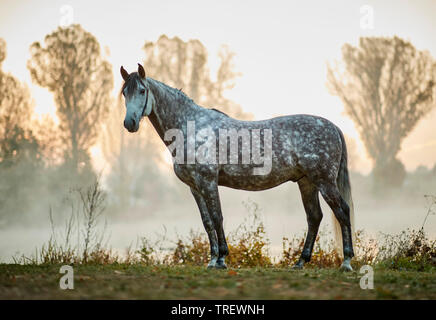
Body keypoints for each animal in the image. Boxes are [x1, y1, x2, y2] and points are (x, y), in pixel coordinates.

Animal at [118, 63, 354, 272]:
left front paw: (221, 259)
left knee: (342, 211)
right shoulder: (195, 187)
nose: (129, 123)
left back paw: (346, 262)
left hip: (324, 181)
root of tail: (333, 127)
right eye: (124, 93)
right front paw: (212, 260)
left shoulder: (208, 181)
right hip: (307, 182)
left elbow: (217, 217)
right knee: (314, 217)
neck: (190, 126)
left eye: (142, 90)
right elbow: (207, 222)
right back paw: (300, 262)